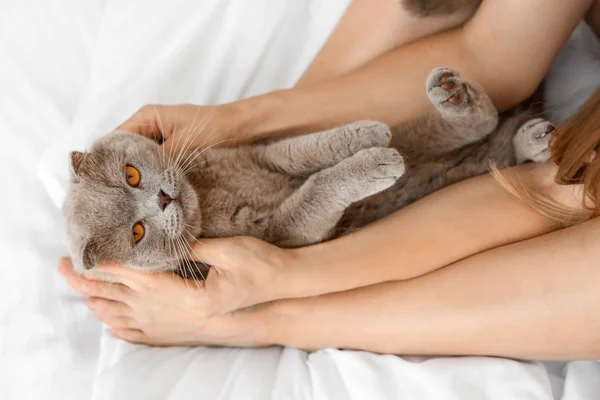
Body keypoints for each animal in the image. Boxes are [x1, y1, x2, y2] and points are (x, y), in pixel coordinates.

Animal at [64, 68, 552, 276]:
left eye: (131, 174)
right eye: (138, 233)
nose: (162, 199)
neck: (209, 191)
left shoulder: (261, 153)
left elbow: (302, 151)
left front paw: (365, 134)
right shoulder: (282, 233)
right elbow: (315, 188)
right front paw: (374, 161)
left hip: (427, 136)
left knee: (477, 124)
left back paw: (453, 97)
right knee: (487, 140)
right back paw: (529, 139)